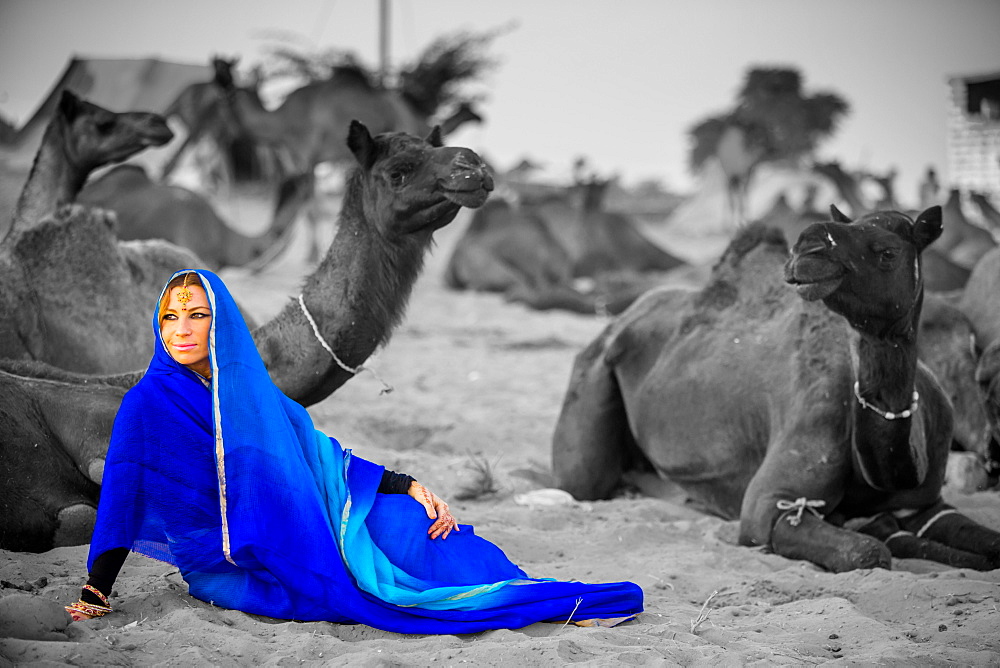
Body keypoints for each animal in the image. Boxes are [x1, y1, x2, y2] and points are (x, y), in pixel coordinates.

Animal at [552, 206, 1000, 572]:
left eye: (887, 251)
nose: (810, 246)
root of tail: (619, 320)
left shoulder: (926, 503)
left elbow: (983, 542)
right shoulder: (768, 504)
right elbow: (870, 553)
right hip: (592, 377)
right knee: (584, 481)